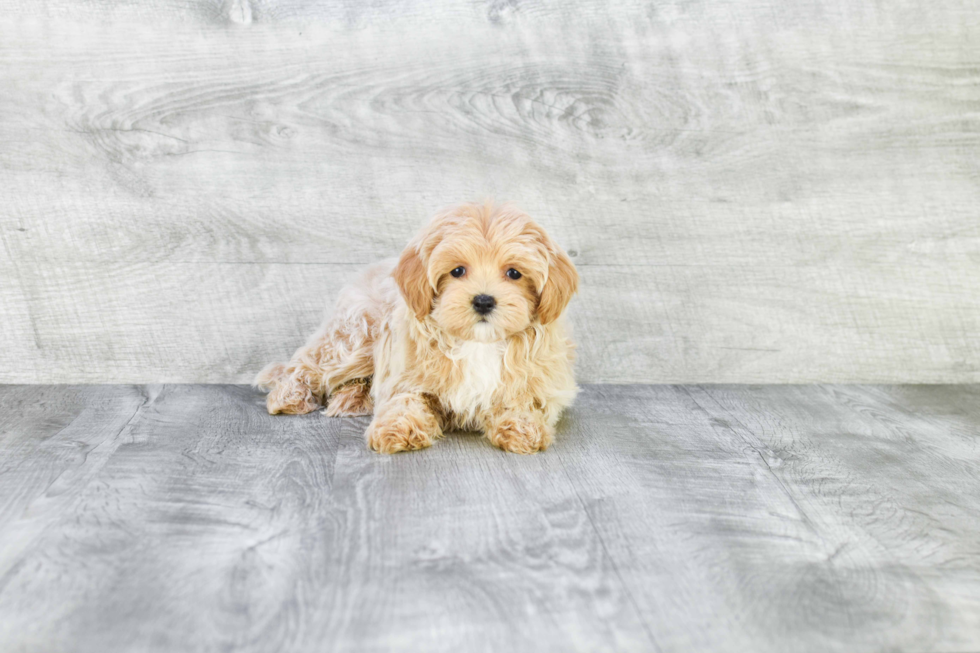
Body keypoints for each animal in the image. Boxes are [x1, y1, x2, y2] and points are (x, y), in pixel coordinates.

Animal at [253, 200, 580, 454]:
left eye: (514, 273)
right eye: (457, 271)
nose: (484, 301)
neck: (477, 343)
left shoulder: (542, 379)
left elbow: (524, 400)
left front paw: (523, 428)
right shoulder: (405, 374)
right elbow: (405, 399)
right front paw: (397, 429)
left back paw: (352, 398)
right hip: (355, 339)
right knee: (308, 363)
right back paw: (289, 396)